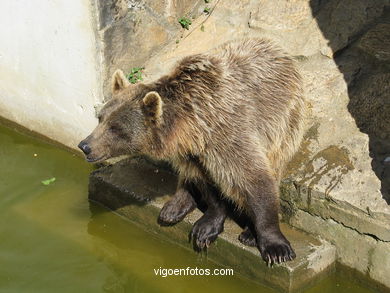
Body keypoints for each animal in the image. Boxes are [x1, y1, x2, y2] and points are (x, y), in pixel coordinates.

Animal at [78, 38, 304, 264]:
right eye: (101, 117)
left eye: (116, 128)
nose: (85, 146)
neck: (192, 125)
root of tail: (276, 47)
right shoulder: (193, 151)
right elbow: (206, 182)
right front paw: (206, 226)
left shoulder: (226, 134)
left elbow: (252, 178)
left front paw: (275, 247)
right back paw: (174, 206)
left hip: (283, 120)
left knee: (275, 160)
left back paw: (248, 232)